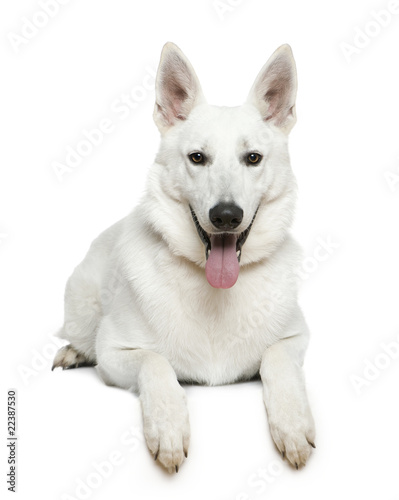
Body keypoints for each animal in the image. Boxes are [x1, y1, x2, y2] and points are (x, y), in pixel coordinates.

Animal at [52, 42, 316, 472]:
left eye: (253, 158)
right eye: (197, 158)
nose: (226, 216)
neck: (215, 289)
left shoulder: (296, 337)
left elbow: (275, 359)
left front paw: (292, 426)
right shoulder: (114, 351)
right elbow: (155, 363)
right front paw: (169, 428)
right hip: (81, 301)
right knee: (79, 334)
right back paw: (74, 351)